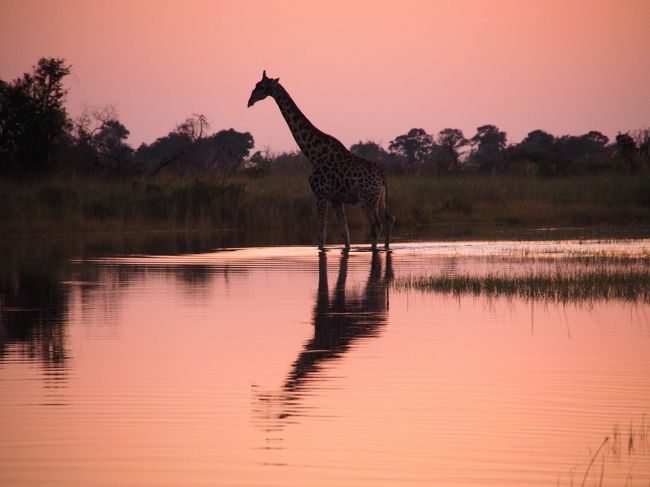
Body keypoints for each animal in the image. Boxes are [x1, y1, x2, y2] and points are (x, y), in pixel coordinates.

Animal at [246, 71, 392, 252]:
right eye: (256, 85)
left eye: (261, 86)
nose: (249, 101)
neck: (313, 154)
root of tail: (382, 178)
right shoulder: (336, 199)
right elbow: (345, 233)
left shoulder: (320, 195)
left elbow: (321, 235)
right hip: (378, 200)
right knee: (388, 220)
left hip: (367, 200)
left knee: (376, 226)